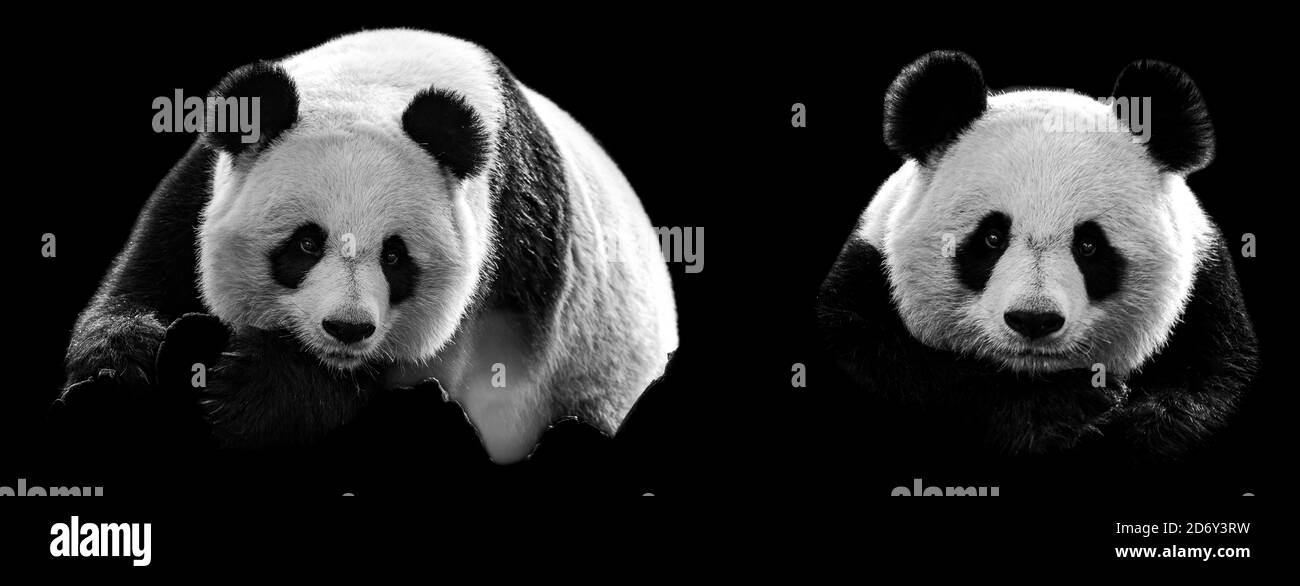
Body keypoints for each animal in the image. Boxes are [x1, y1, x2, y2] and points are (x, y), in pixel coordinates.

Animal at [63, 29, 678, 463]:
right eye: (306, 243)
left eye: (395, 256)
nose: (348, 328)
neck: (387, 78)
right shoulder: (201, 187)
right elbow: (147, 278)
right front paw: (117, 372)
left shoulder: (506, 255)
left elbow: (438, 376)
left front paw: (249, 388)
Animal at [817, 51, 1257, 459]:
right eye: (992, 238)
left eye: (1089, 245)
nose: (1033, 320)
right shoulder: (867, 276)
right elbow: (891, 363)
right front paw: (1063, 408)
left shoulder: (1208, 303)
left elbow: (1216, 379)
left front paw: (1148, 422)